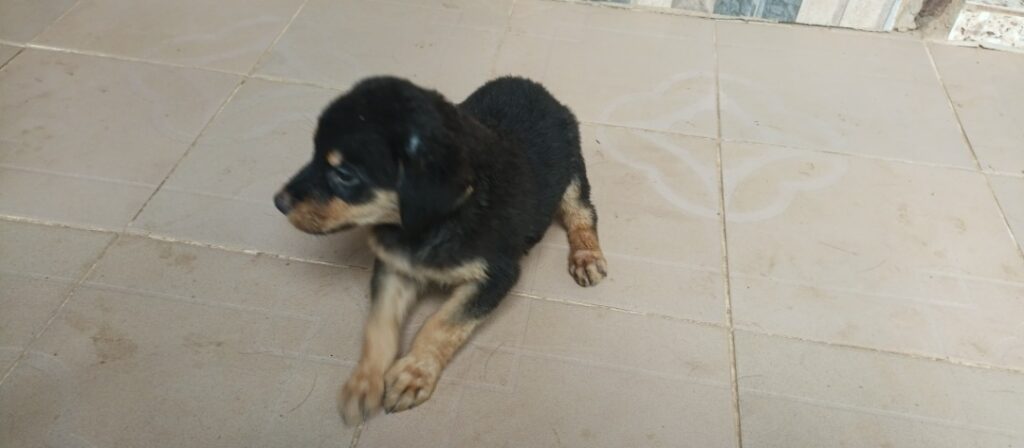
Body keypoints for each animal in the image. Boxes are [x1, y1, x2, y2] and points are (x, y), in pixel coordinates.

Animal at [272, 76, 606, 423]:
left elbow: (442, 324)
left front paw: (413, 374)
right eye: (314, 154)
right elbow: (378, 325)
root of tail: (537, 87)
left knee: (582, 213)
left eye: (345, 174)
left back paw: (586, 257)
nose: (278, 202)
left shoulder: (496, 275)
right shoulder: (395, 267)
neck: (428, 225)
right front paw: (364, 383)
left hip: (572, 173)